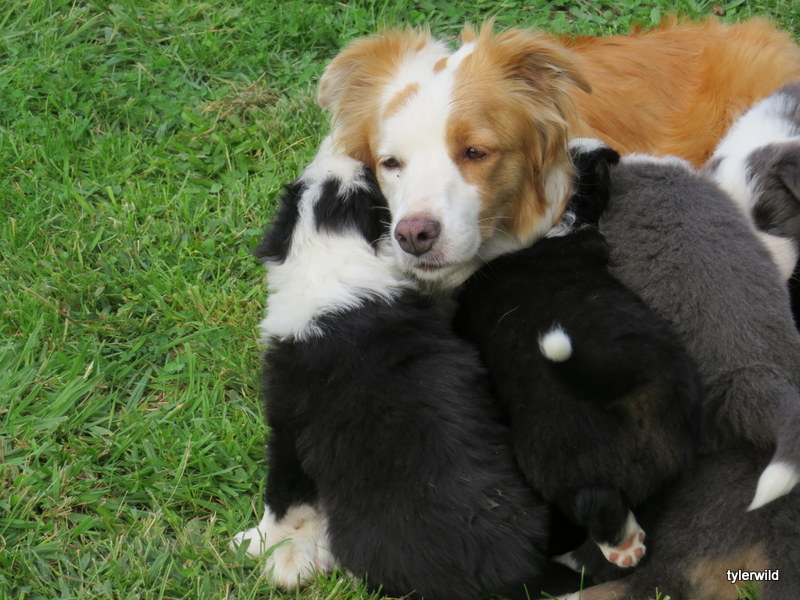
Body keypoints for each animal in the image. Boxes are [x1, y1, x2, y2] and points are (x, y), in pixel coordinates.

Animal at [230, 140, 579, 600]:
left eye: (365, 185)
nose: (349, 157)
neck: (333, 254)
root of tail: (517, 569)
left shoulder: (287, 421)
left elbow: (283, 497)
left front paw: (262, 546)